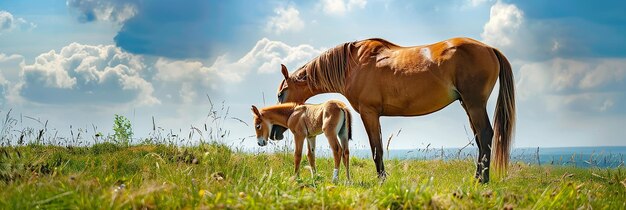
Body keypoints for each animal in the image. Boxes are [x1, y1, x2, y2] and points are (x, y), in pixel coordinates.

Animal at [272, 37, 512, 183]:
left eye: (281, 94)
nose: (275, 133)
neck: (353, 65)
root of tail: (490, 49)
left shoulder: (369, 113)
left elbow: (375, 149)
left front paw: (381, 179)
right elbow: (377, 147)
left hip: (474, 104)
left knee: (486, 135)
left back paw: (482, 181)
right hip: (467, 105)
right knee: (480, 139)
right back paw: (478, 178)